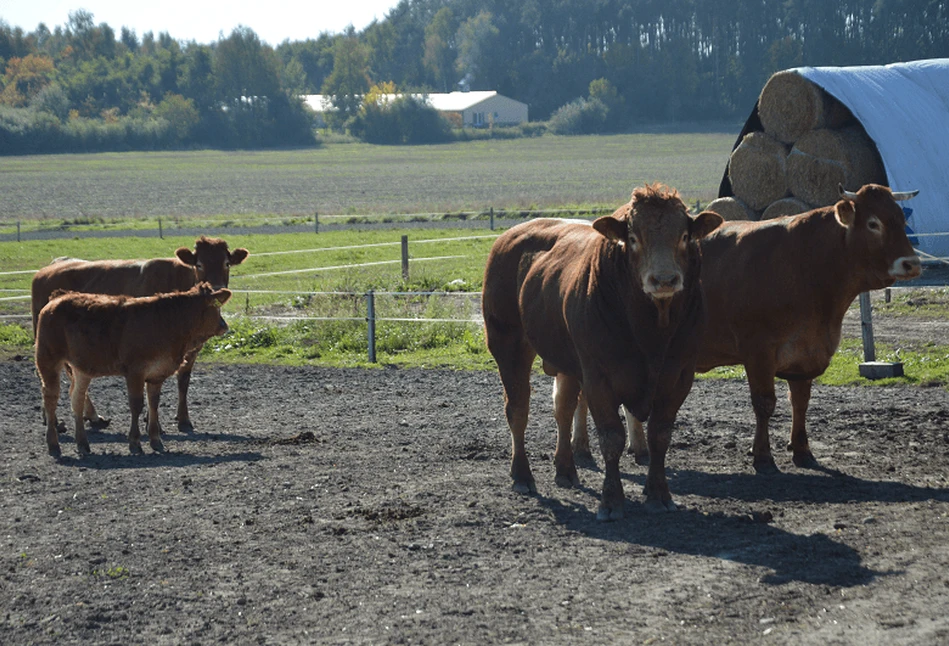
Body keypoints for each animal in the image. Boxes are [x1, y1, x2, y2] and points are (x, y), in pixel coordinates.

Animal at [31, 235, 248, 432]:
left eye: (226, 263)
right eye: (199, 264)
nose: (217, 288)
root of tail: (47, 269)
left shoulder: (191, 350)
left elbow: (183, 381)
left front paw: (183, 419)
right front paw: (153, 423)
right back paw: (65, 419)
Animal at [36, 284, 232, 460]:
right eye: (216, 307)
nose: (224, 325)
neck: (166, 322)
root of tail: (57, 298)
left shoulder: (156, 374)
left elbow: (154, 404)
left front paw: (156, 440)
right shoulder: (135, 372)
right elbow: (137, 405)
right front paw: (135, 443)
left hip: (81, 368)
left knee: (77, 398)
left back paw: (83, 444)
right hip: (48, 359)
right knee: (51, 398)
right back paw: (53, 444)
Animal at [486, 184, 724, 520]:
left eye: (685, 236)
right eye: (634, 238)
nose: (664, 279)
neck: (652, 333)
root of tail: (510, 235)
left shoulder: (679, 376)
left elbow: (660, 435)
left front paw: (659, 494)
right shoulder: (599, 376)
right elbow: (612, 437)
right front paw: (611, 501)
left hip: (568, 362)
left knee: (563, 408)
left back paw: (566, 469)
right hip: (508, 343)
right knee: (518, 409)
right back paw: (522, 475)